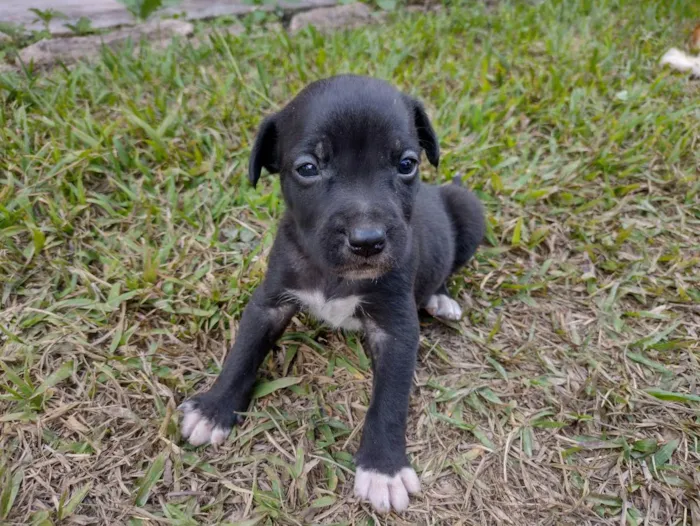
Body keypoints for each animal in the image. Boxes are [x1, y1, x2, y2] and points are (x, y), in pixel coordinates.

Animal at [178, 74, 484, 516]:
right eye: (308, 169)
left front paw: (384, 469)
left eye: (406, 164)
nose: (368, 241)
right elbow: (243, 352)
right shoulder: (269, 302)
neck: (336, 275)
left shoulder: (397, 329)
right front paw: (214, 409)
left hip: (469, 211)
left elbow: (390, 399)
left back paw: (440, 298)